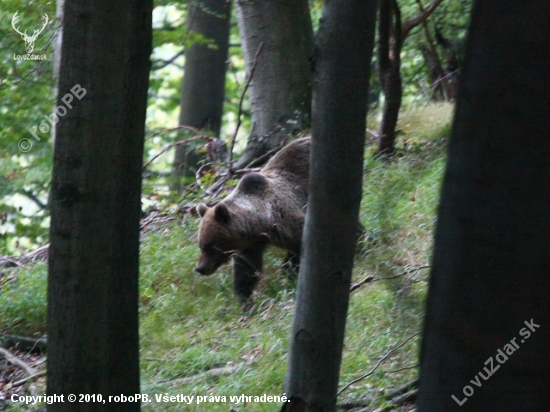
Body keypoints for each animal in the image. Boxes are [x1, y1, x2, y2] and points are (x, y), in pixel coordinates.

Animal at [195, 137, 310, 300]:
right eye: (201, 245)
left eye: (209, 246)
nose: (200, 268)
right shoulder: (250, 246)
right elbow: (246, 271)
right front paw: (243, 297)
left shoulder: (286, 223)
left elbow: (300, 249)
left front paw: (289, 274)